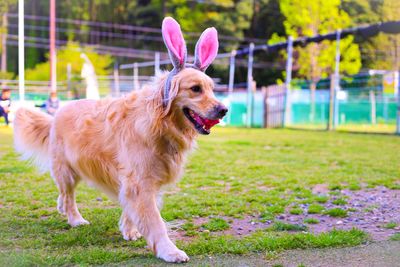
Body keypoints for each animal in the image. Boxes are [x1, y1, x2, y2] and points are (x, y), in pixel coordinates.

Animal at [12, 17, 227, 264]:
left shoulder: (139, 180)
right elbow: (155, 222)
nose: (224, 110)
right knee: (68, 196)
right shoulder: (139, 181)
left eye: (212, 89)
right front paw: (169, 251)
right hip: (66, 170)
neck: (159, 122)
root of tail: (55, 115)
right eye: (195, 89)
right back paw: (75, 219)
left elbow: (132, 209)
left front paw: (129, 229)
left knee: (63, 196)